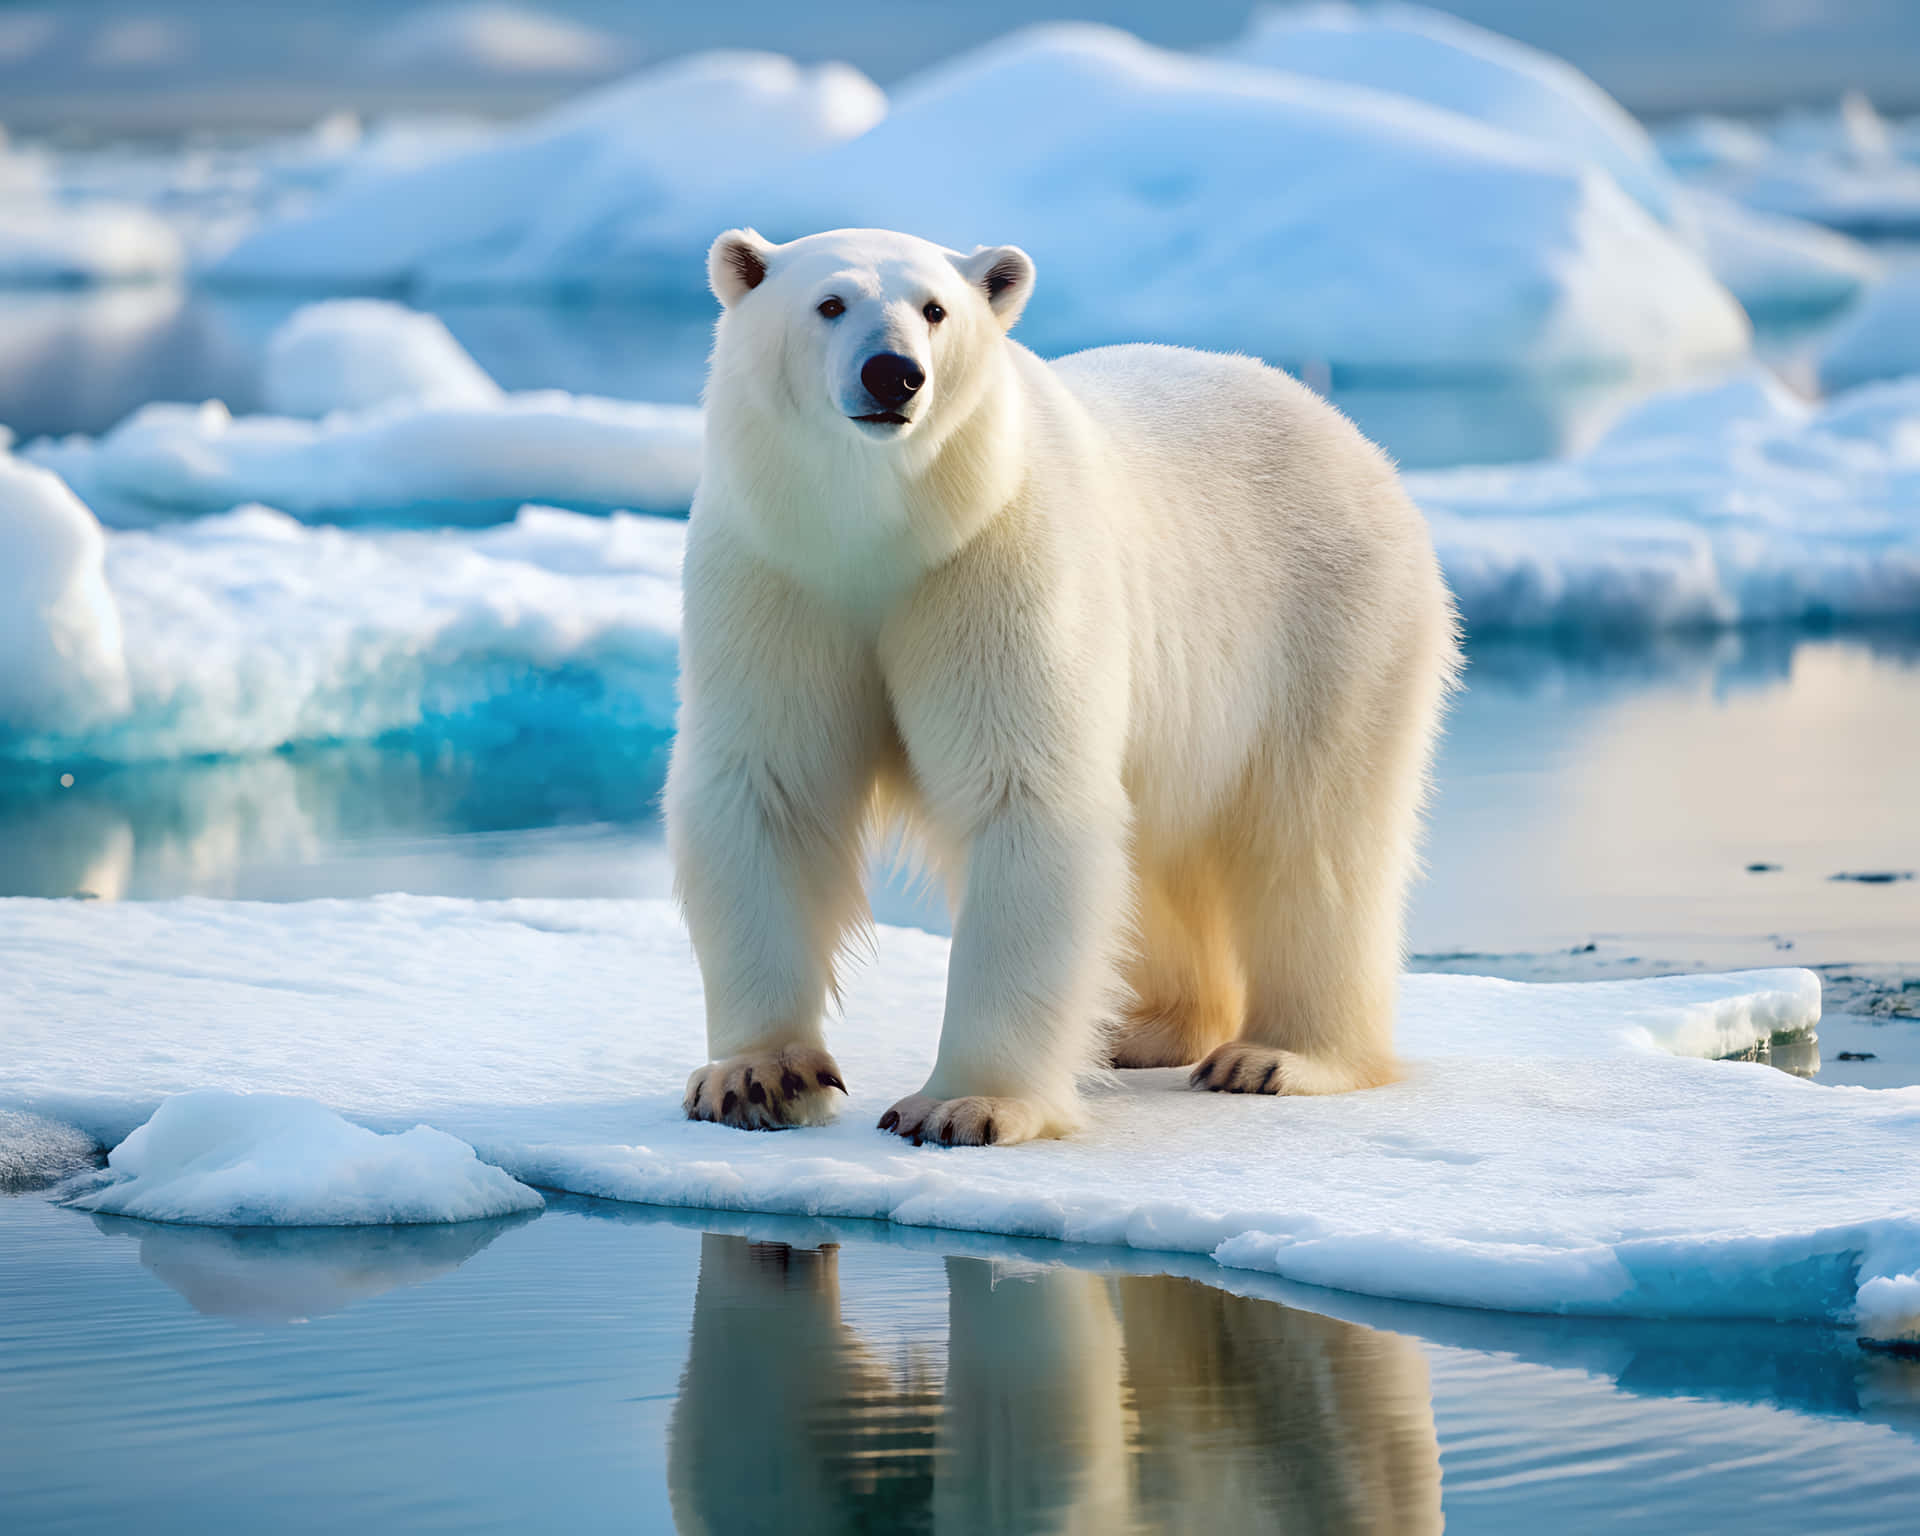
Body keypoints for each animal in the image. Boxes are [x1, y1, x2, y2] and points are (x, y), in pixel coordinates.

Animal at [666, 226, 1459, 1146]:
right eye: (830, 302)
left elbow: (1022, 791)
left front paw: (961, 1105)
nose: (894, 374)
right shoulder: (779, 575)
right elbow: (771, 789)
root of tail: (1351, 437)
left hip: (1331, 622)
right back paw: (1145, 1029)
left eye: (936, 309)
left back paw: (1277, 1057)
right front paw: (758, 1077)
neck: (888, 530)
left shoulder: (995, 559)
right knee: (1164, 851)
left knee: (1314, 836)